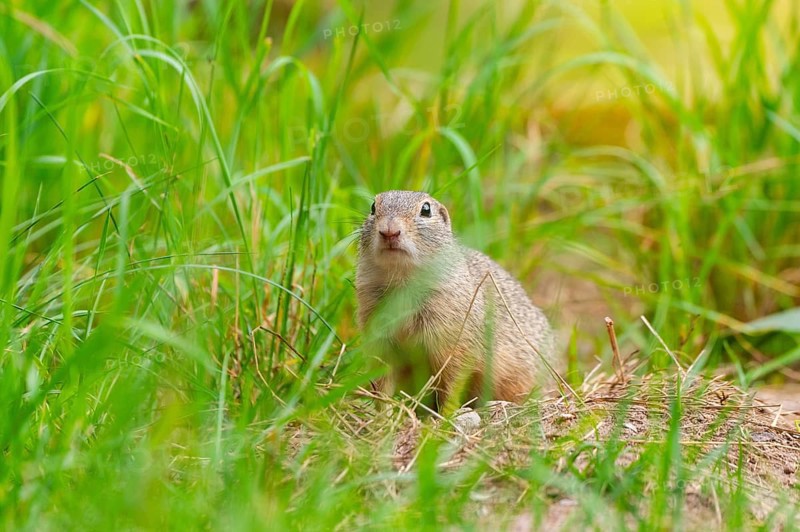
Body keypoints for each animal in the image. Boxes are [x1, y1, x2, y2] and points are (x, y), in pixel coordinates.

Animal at [356, 190, 556, 408]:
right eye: (373, 207)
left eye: (426, 209)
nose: (389, 231)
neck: (402, 282)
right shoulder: (378, 335)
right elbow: (382, 379)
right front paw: (384, 411)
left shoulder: (454, 340)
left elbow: (453, 381)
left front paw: (446, 414)